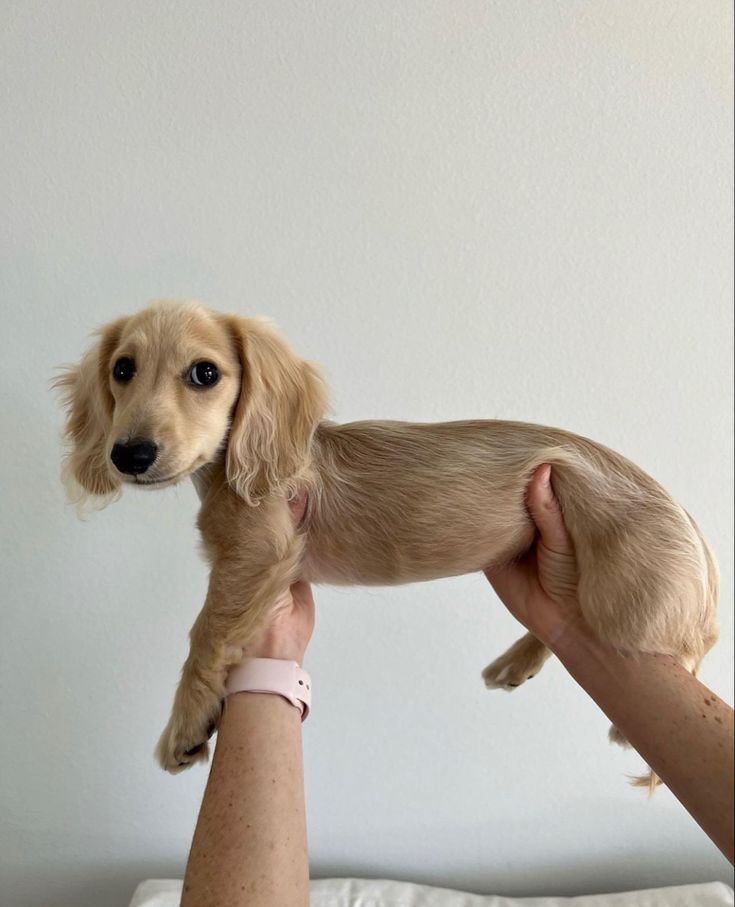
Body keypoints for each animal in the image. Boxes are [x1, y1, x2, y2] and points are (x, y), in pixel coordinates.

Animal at [56, 300, 720, 780]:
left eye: (205, 373)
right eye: (122, 369)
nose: (129, 455)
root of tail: (686, 520)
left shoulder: (259, 552)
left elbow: (205, 633)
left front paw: (186, 726)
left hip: (628, 605)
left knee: (685, 649)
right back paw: (515, 662)